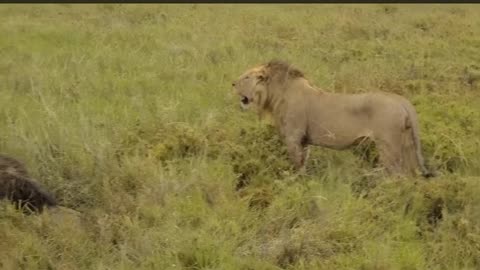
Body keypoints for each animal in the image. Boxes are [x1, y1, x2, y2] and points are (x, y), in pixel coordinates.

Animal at [232, 59, 436, 177]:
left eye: (246, 77)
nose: (232, 83)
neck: (276, 94)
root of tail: (401, 100)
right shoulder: (304, 141)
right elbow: (304, 165)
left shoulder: (293, 138)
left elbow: (297, 166)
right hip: (407, 144)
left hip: (389, 146)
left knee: (399, 175)